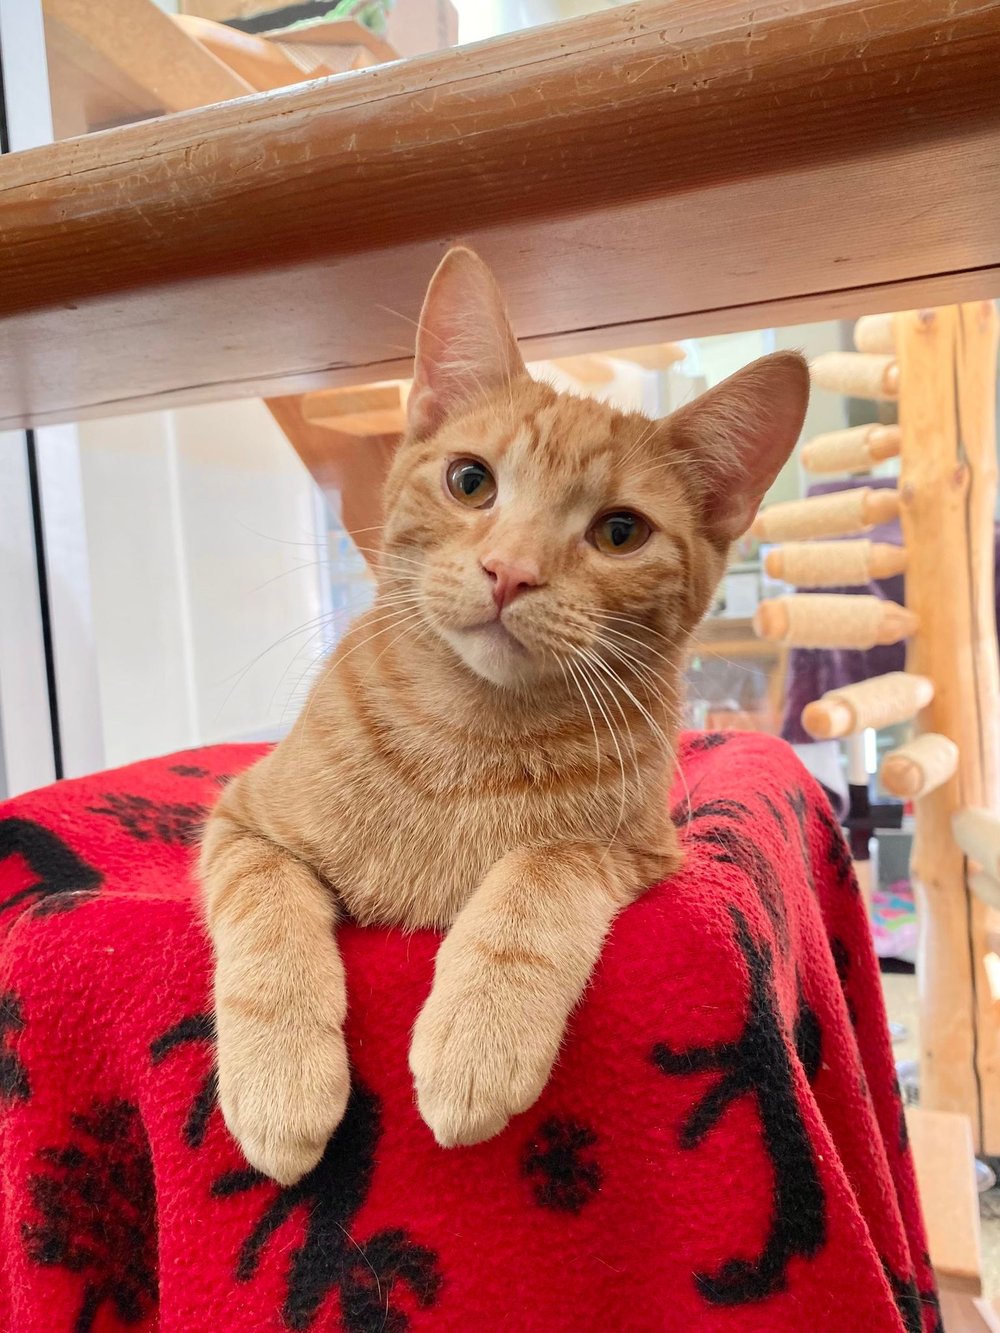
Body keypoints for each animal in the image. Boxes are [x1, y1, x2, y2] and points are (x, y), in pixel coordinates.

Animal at [199, 246, 809, 1186]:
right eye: (470, 481)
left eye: (621, 531)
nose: (510, 570)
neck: (469, 733)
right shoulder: (240, 821)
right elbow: (266, 904)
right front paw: (278, 1078)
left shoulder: (634, 848)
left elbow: (540, 870)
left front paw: (478, 1033)